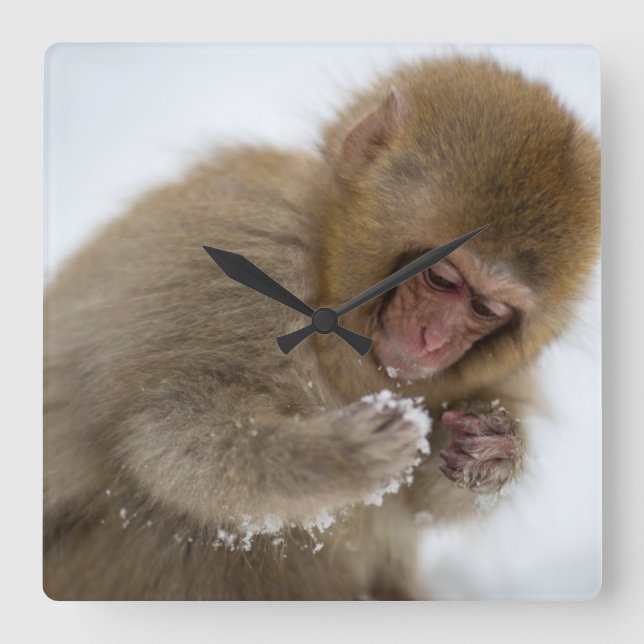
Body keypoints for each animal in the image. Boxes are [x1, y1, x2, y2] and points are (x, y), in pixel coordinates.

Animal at [43, 56, 600, 600]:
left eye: (486, 309)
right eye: (441, 277)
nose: (434, 341)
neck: (327, 278)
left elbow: (421, 499)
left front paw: (492, 450)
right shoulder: (246, 264)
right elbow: (166, 432)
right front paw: (335, 457)